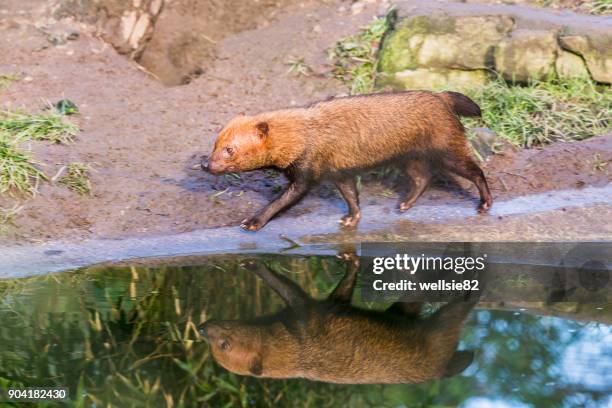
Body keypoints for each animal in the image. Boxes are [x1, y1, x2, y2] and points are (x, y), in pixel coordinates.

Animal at [201, 253, 478, 384]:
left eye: (224, 345)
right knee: (455, 310)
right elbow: (297, 293)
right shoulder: (310, 318)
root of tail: (440, 371)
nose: (203, 329)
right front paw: (253, 264)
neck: (294, 349)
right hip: (438, 332)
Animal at [206, 91, 492, 231]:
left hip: (446, 146)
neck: (304, 134)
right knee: (422, 177)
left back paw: (485, 203)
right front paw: (351, 219)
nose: (206, 165)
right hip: (409, 156)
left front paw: (253, 221)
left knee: (474, 170)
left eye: (230, 149)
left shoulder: (307, 170)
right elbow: (351, 196)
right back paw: (404, 204)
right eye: (215, 144)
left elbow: (283, 200)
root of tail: (442, 96)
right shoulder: (339, 170)